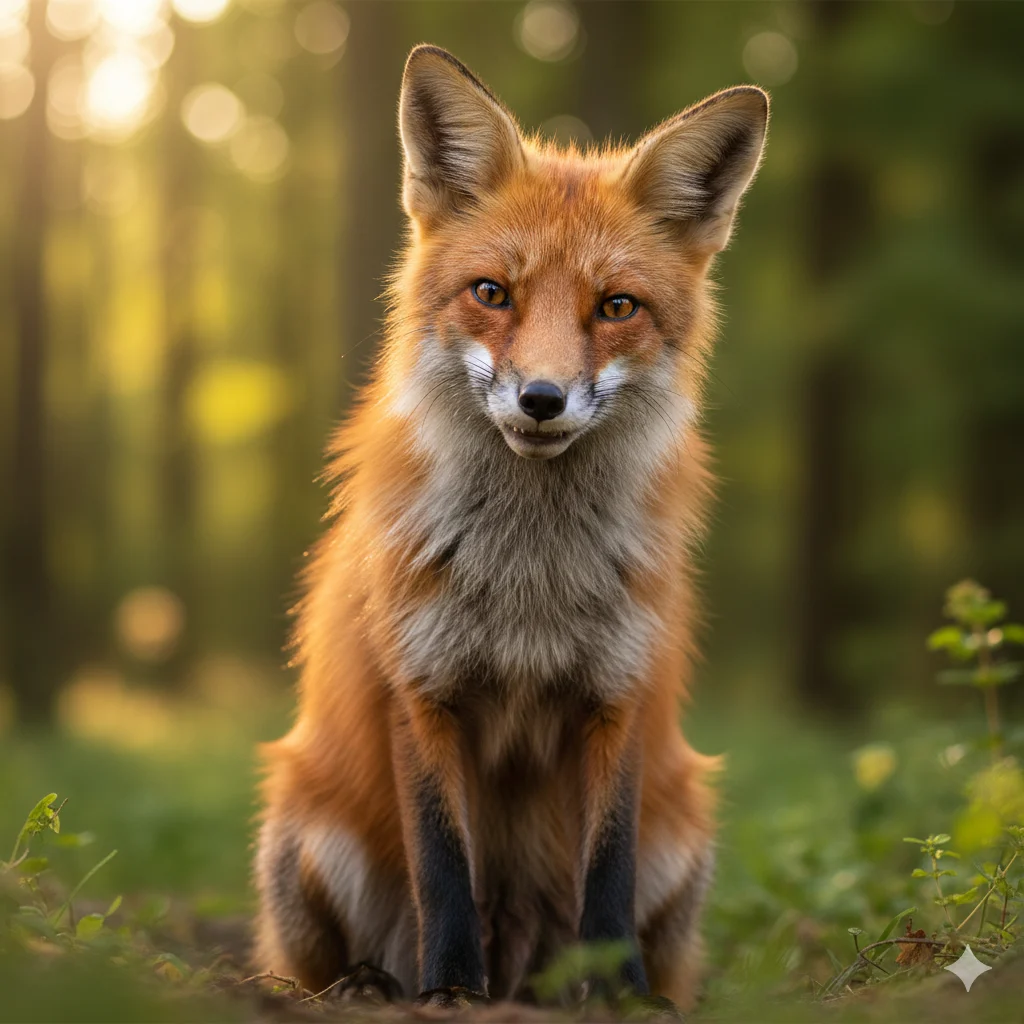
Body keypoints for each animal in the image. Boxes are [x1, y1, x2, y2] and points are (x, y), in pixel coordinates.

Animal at [254, 44, 768, 1014]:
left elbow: (607, 870)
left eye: (616, 306)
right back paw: (376, 982)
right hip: (305, 824)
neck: (531, 576)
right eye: (492, 292)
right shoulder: (420, 689)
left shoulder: (617, 694)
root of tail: (523, 952)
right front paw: (452, 988)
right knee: (334, 954)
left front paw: (621, 995)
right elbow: (443, 863)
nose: (541, 398)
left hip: (685, 834)